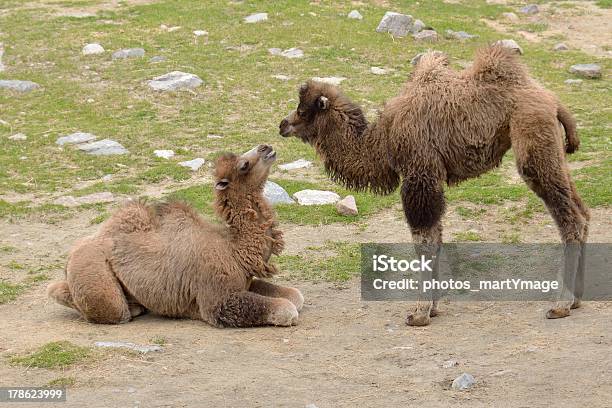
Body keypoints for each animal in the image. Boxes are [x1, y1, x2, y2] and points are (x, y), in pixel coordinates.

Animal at [47, 145, 304, 326]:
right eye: (243, 165)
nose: (266, 147)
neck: (234, 250)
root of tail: (72, 254)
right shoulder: (216, 299)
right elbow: (286, 308)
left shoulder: (244, 281)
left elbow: (295, 295)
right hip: (95, 273)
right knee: (99, 305)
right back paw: (132, 308)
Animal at [278, 45, 588, 326]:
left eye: (303, 111)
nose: (283, 124)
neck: (381, 140)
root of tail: (553, 100)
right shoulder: (430, 178)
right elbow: (436, 238)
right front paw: (433, 308)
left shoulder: (419, 173)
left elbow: (423, 240)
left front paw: (419, 313)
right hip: (552, 149)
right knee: (582, 212)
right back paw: (576, 300)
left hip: (532, 141)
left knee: (569, 218)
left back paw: (560, 305)